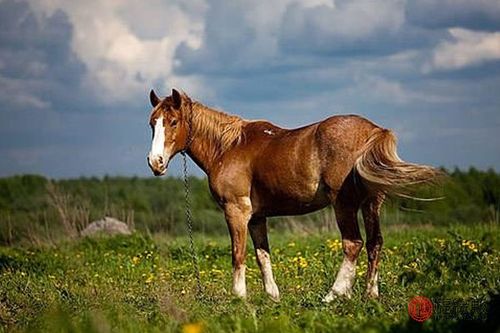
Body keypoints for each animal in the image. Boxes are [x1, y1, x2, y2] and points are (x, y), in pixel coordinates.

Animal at [146, 88, 440, 300]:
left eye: (173, 121)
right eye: (152, 124)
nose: (155, 162)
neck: (228, 147)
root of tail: (373, 131)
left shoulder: (236, 211)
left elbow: (238, 254)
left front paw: (239, 298)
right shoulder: (256, 217)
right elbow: (262, 255)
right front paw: (272, 297)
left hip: (343, 205)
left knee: (353, 244)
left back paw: (334, 295)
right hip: (371, 204)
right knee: (374, 243)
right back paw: (370, 295)